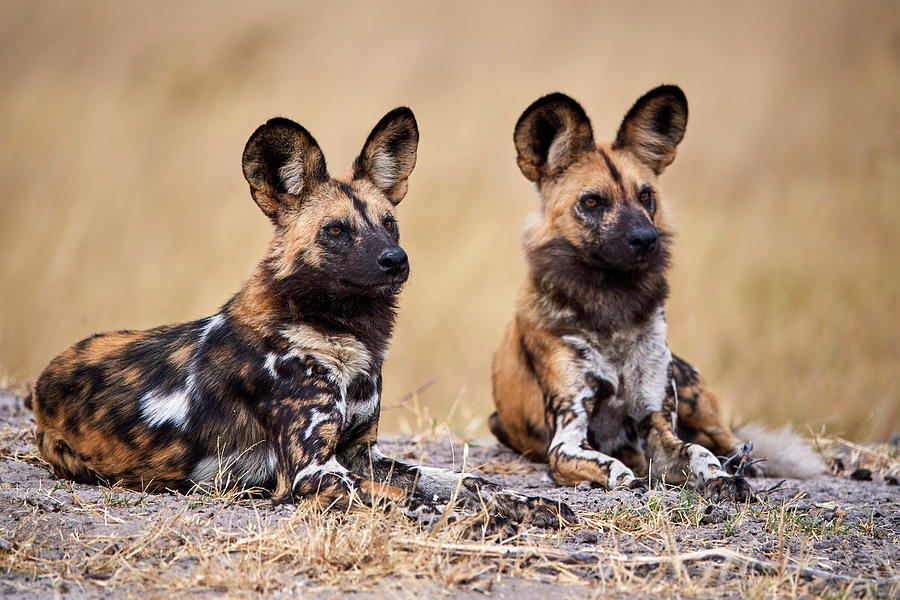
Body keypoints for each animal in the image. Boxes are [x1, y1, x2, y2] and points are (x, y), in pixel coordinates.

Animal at [33, 108, 576, 524]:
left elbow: (463, 480)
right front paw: (478, 520)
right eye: (336, 230)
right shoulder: (315, 472)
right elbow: (419, 500)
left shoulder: (361, 454)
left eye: (389, 224)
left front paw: (527, 502)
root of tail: (42, 383)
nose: (396, 259)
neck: (344, 336)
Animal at [492, 85, 824, 502]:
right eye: (591, 201)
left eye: (646, 195)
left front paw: (722, 479)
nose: (646, 239)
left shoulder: (657, 421)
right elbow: (612, 466)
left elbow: (698, 452)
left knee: (732, 442)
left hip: (694, 397)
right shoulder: (565, 441)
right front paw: (630, 479)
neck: (613, 311)